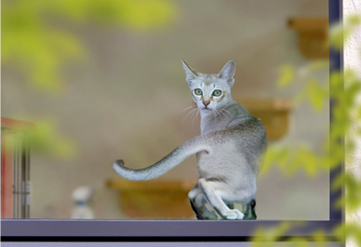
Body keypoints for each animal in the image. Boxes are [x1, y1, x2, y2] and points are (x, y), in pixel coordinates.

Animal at [113, 60, 268, 220]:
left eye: (217, 92)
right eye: (198, 91)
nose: (205, 102)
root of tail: (211, 138)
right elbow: (244, 203)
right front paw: (242, 214)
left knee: (194, 191)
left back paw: (208, 215)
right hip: (247, 186)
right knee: (206, 186)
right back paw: (228, 213)